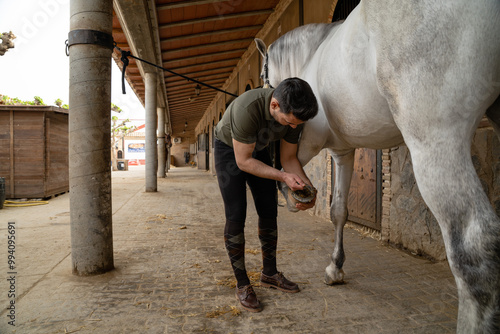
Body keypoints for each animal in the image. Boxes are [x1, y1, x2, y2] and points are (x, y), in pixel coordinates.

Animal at [258, 1, 500, 332]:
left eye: (262, 74)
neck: (312, 55)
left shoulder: (308, 144)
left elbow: (286, 168)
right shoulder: (343, 152)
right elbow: (339, 211)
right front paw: (335, 268)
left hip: (435, 142)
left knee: (474, 250)